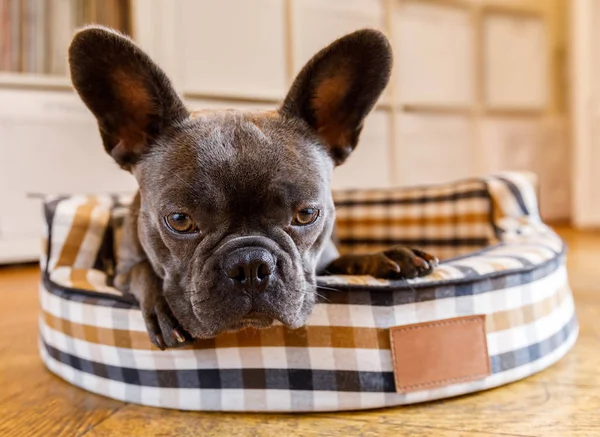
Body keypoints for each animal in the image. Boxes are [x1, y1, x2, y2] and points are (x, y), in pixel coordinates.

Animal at [68, 26, 438, 348]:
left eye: (307, 214)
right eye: (179, 221)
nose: (249, 265)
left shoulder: (326, 258)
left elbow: (342, 259)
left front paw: (386, 255)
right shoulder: (122, 272)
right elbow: (142, 270)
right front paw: (163, 307)